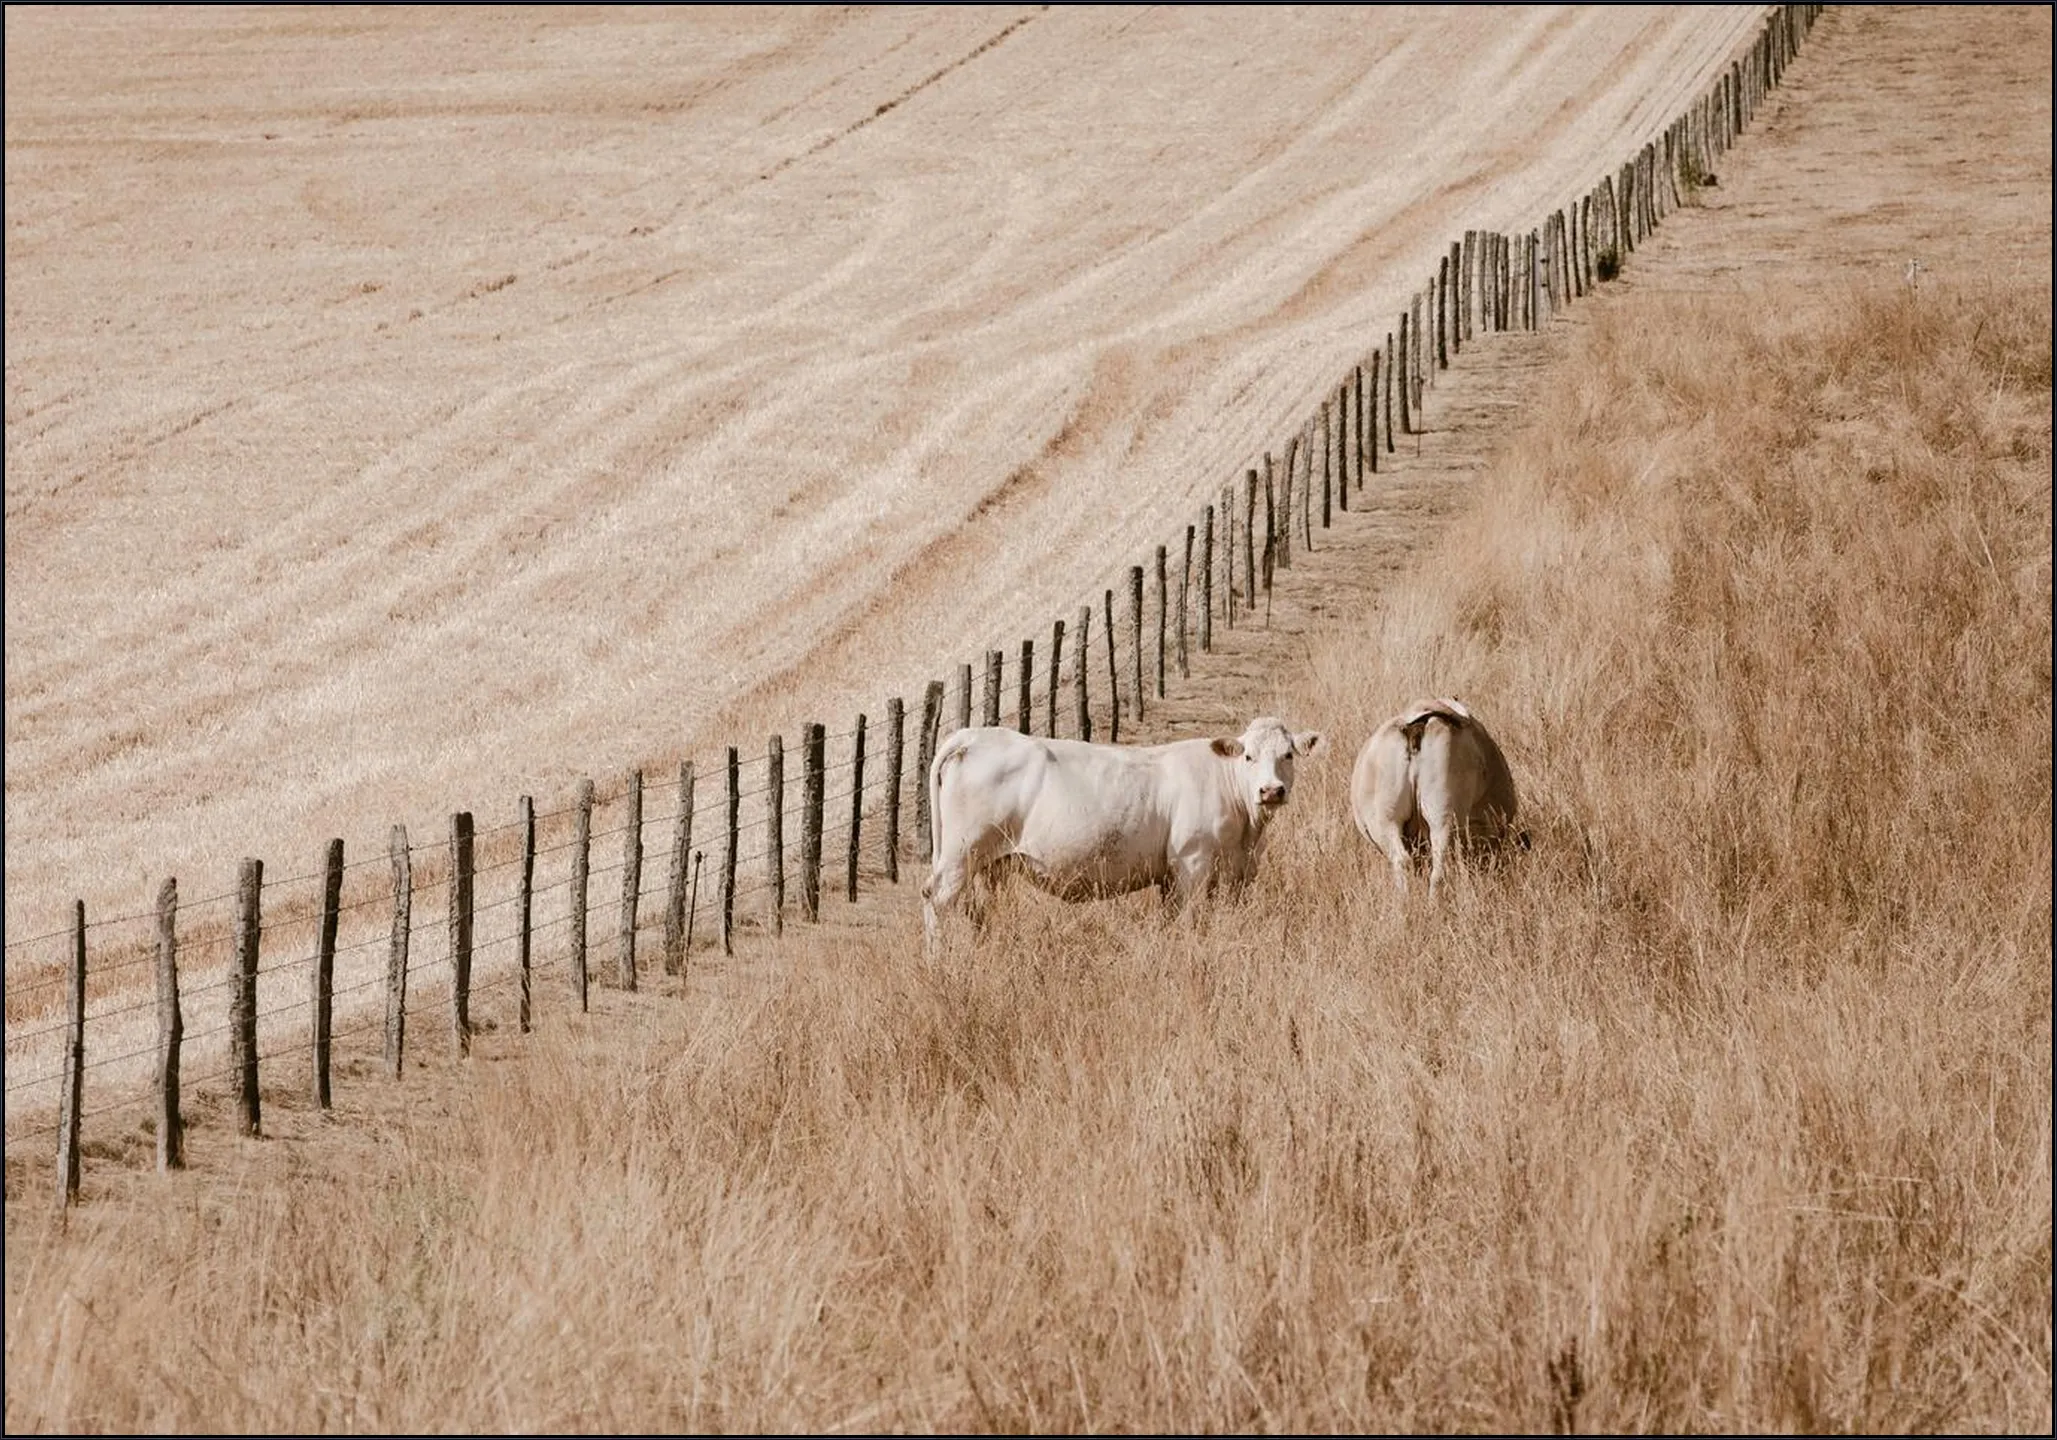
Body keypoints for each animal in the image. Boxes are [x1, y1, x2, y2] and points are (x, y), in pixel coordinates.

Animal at [921, 715, 1324, 949]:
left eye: (1288, 755)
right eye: (1248, 757)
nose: (1271, 791)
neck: (1247, 836)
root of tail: (973, 735)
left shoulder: (1223, 874)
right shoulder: (1192, 864)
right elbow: (1191, 921)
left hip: (994, 863)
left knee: (982, 912)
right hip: (960, 856)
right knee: (937, 900)